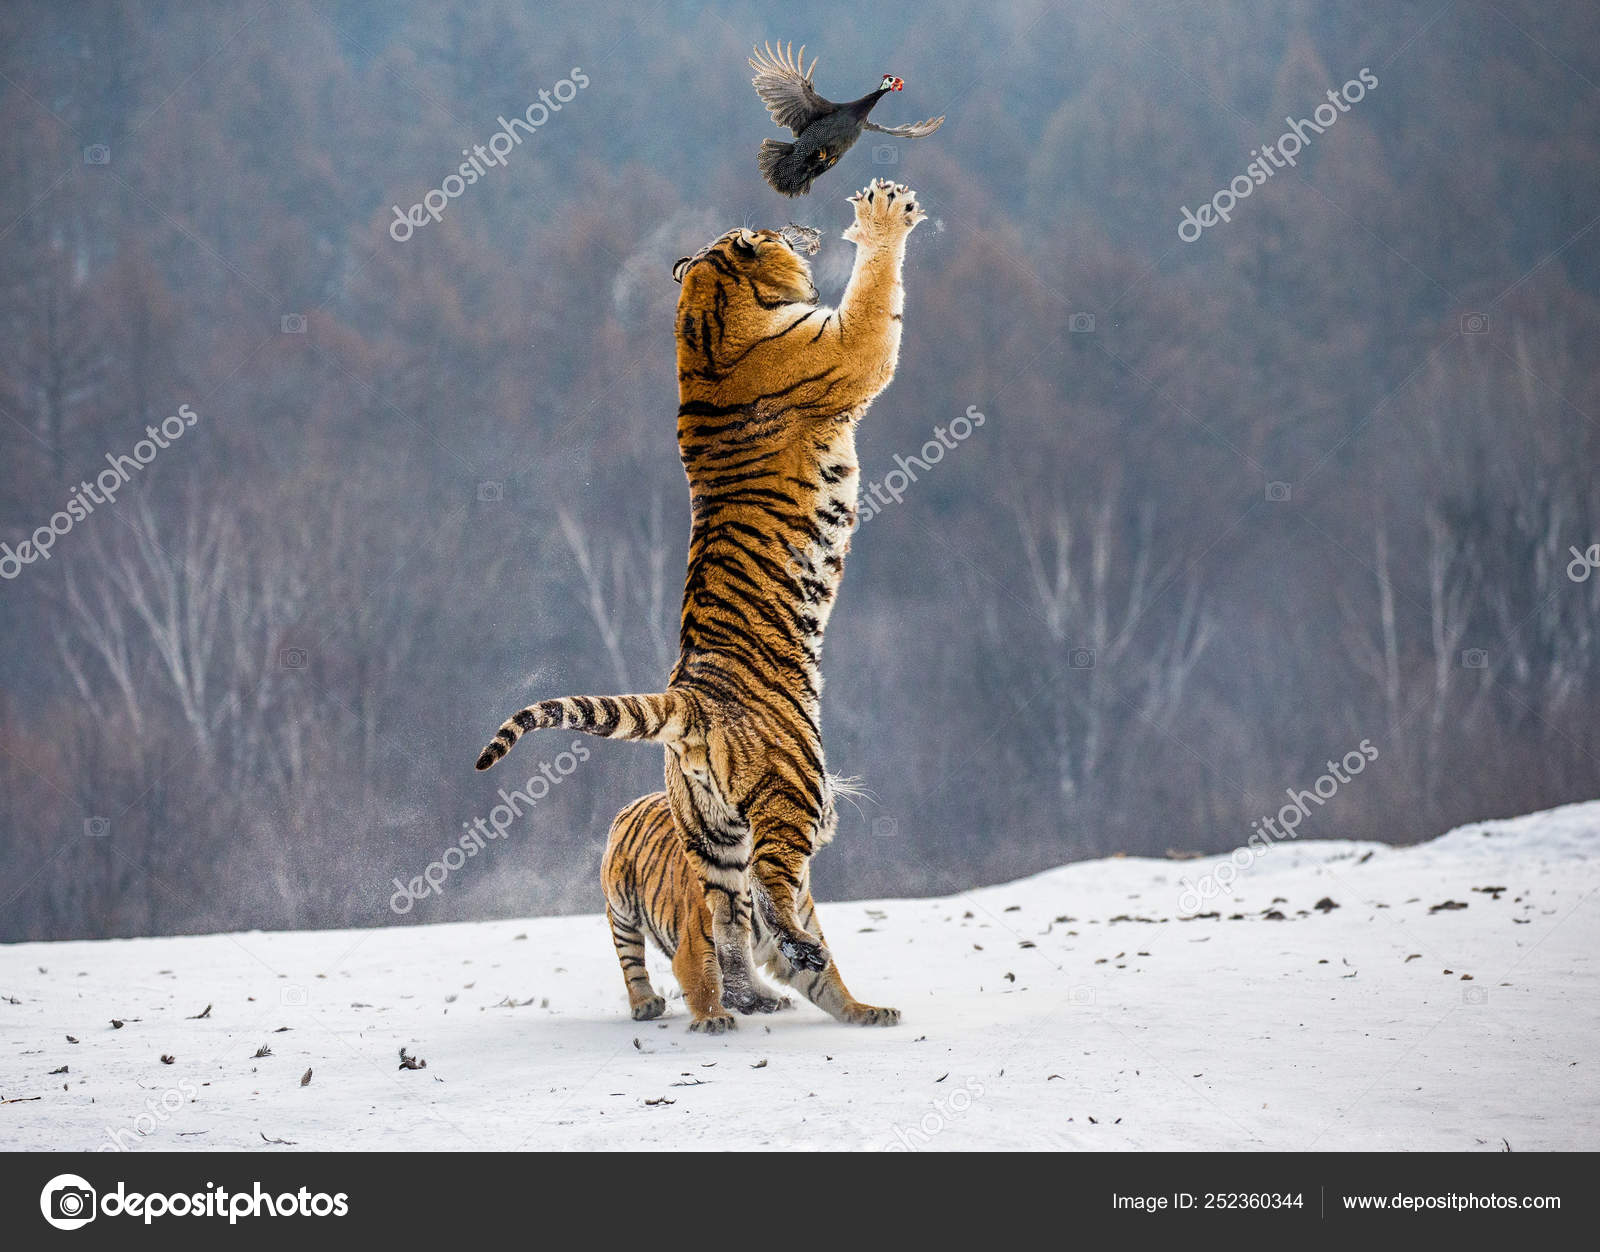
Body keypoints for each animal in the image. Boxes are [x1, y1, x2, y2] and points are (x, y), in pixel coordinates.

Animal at [477, 177, 925, 1026]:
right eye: (771, 230)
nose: (801, 223)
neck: (706, 313)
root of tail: (686, 696)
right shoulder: (852, 346)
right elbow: (877, 296)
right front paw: (883, 216)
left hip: (710, 834)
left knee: (726, 915)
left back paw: (767, 994)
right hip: (795, 787)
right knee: (778, 885)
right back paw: (789, 968)